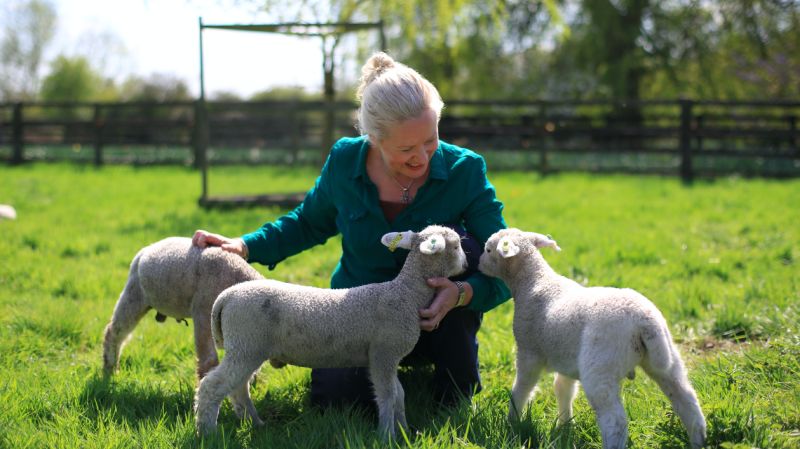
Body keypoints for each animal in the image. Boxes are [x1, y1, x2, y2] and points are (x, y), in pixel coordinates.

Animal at [101, 236, 264, 380]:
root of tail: (147, 248)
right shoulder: (203, 312)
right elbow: (208, 361)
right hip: (134, 294)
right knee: (114, 332)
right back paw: (110, 370)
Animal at [195, 226, 468, 436]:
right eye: (456, 247)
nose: (467, 263)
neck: (406, 295)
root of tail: (227, 296)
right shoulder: (383, 354)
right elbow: (388, 395)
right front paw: (386, 435)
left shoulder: (388, 357)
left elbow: (399, 394)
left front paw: (404, 430)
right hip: (245, 344)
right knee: (212, 386)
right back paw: (207, 432)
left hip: (248, 347)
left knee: (238, 388)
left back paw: (255, 423)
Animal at [478, 229, 704, 446]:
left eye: (488, 249)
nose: (478, 263)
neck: (533, 281)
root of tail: (645, 321)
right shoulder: (567, 357)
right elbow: (563, 389)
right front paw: (565, 425)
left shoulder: (528, 351)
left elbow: (522, 389)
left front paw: (512, 420)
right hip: (665, 357)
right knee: (687, 400)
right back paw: (698, 440)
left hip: (601, 364)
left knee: (614, 420)